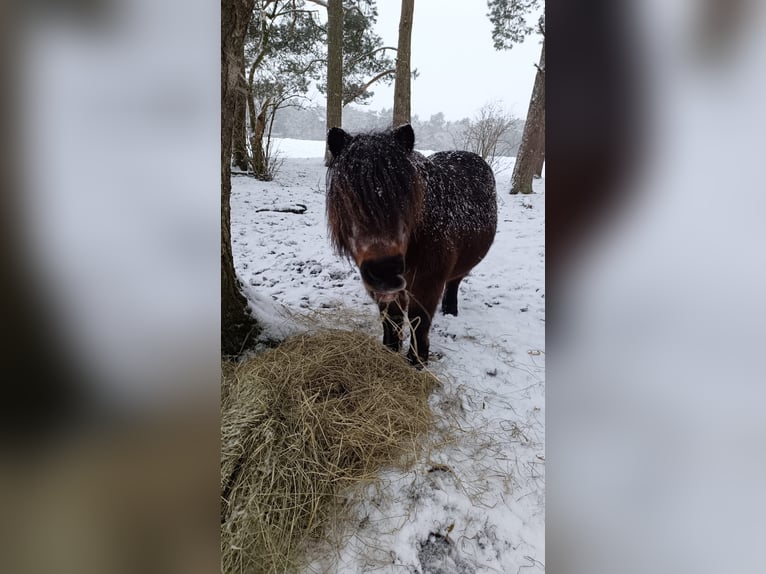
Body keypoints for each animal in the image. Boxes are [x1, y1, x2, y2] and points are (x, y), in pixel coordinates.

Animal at [326, 125, 498, 364]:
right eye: (347, 198)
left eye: (406, 197)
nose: (385, 272)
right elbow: (391, 319)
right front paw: (390, 351)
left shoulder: (427, 283)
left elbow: (419, 323)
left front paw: (417, 361)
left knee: (455, 281)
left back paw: (450, 309)